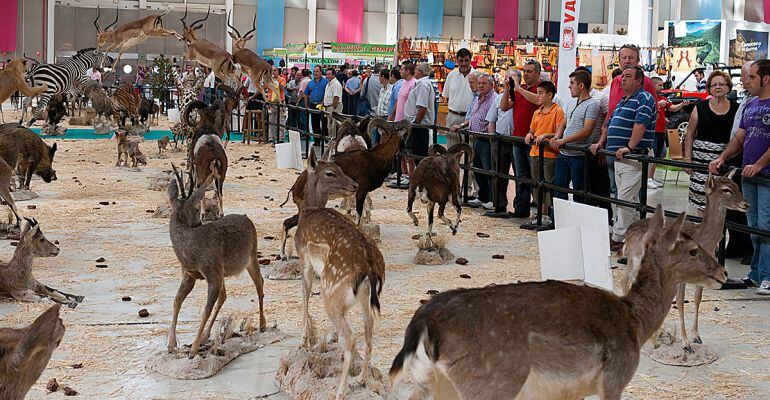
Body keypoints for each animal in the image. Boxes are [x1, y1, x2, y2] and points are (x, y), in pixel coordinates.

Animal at [166, 164, 266, 358]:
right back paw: (206, 336)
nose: (198, 223)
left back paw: (263, 324)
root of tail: (247, 218)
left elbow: (205, 310)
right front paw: (171, 344)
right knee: (225, 295)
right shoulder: (189, 274)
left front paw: (193, 350)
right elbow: (176, 301)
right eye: (198, 209)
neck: (189, 253)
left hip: (251, 255)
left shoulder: (211, 270)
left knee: (260, 284)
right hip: (223, 270)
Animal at [292, 148, 382, 398]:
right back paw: (361, 378)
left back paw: (341, 390)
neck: (307, 211)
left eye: (338, 169)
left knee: (351, 338)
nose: (355, 184)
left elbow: (304, 294)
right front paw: (329, 336)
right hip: (365, 300)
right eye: (331, 172)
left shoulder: (304, 258)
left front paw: (304, 340)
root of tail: (370, 269)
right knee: (368, 333)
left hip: (332, 289)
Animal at [390, 206, 728, 400]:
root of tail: (423, 324)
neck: (635, 322)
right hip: (489, 385)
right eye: (694, 250)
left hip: (432, 385)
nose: (723, 273)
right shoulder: (614, 377)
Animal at [620, 170, 748, 352]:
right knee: (625, 282)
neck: (703, 240)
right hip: (635, 259)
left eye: (737, 185)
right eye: (726, 190)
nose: (746, 204)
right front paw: (686, 343)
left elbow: (697, 298)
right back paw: (653, 339)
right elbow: (680, 302)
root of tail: (627, 233)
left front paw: (697, 336)